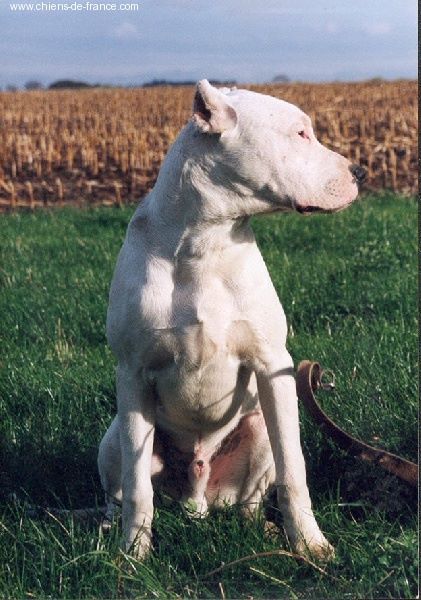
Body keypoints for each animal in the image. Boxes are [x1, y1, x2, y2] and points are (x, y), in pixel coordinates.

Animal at [97, 79, 364, 556]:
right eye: (300, 134)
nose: (361, 173)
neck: (204, 243)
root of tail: (197, 498)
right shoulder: (132, 373)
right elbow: (137, 487)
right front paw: (133, 553)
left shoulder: (273, 366)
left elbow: (294, 470)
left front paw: (310, 544)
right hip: (114, 437)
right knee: (120, 487)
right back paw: (110, 529)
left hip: (257, 431)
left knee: (251, 499)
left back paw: (268, 530)